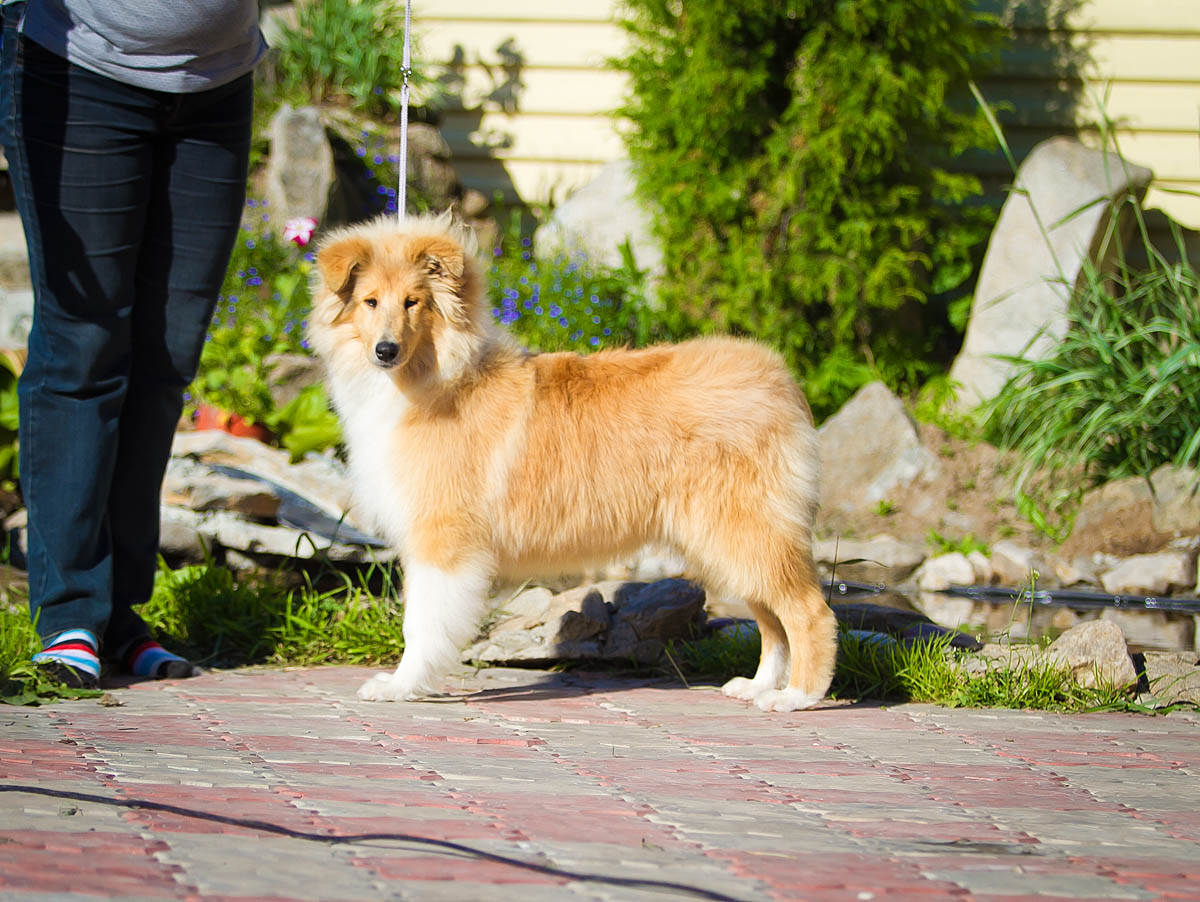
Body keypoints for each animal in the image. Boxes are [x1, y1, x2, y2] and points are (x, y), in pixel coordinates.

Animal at [309, 213, 835, 710]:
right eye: (370, 301)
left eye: (413, 302)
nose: (385, 351)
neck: (436, 376)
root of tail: (779, 377)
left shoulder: (443, 539)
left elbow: (421, 624)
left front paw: (400, 686)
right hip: (725, 541)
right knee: (770, 619)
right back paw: (758, 686)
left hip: (746, 530)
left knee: (809, 611)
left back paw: (797, 696)